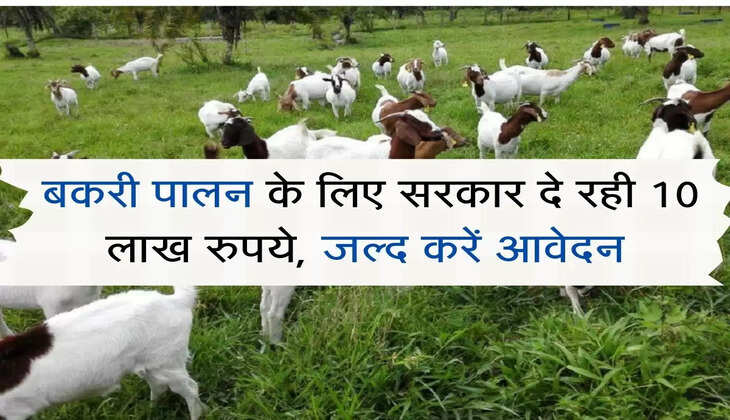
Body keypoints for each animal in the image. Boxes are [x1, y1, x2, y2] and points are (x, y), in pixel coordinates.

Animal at [0, 287, 203, 420]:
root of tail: (177, 301)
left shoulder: (14, 410)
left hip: (168, 360)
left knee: (190, 388)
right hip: (150, 363)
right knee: (159, 384)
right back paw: (151, 408)